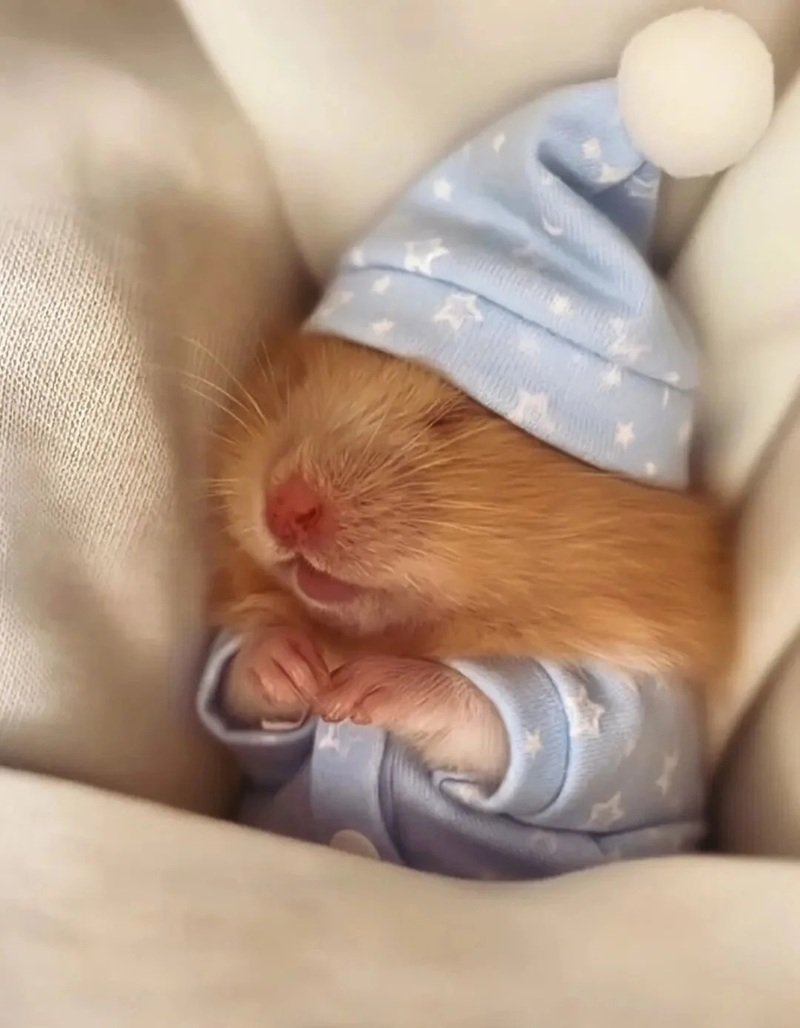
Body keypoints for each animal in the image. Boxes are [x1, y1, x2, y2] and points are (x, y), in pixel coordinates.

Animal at [207, 331, 732, 778]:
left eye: (451, 417)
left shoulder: (631, 727)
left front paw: (360, 689)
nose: (284, 508)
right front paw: (292, 666)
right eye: (295, 380)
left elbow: (487, 712)